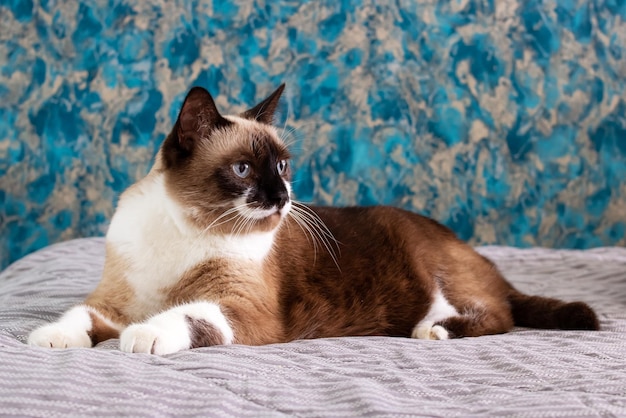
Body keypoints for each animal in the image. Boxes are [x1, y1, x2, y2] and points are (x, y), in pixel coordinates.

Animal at [25, 83, 600, 354]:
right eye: (243, 169)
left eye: (282, 167)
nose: (282, 197)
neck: (189, 228)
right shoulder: (115, 302)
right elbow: (78, 315)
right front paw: (50, 338)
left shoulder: (241, 311)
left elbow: (182, 316)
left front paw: (142, 338)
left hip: (438, 276)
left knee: (498, 315)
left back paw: (432, 332)